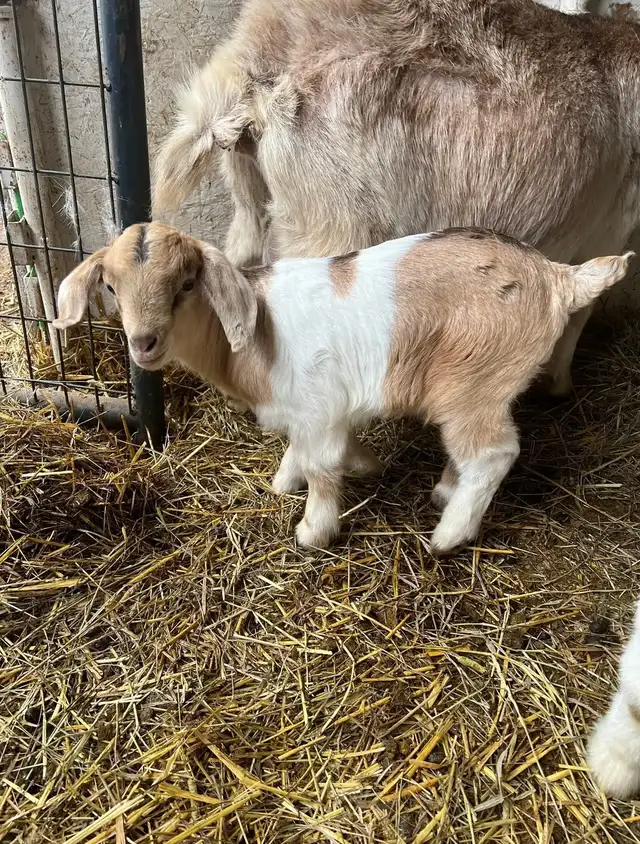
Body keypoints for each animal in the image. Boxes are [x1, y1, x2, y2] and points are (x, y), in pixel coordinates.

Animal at [52, 223, 631, 552]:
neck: (251, 333)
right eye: (110, 286)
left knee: (494, 452)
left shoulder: (318, 407)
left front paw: (314, 529)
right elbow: (303, 451)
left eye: (187, 284)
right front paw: (293, 480)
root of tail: (558, 279)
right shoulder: (309, 411)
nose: (144, 343)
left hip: (474, 381)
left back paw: (447, 535)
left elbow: (322, 466)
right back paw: (446, 491)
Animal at [153, 0, 640, 399]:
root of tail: (260, 50)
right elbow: (580, 307)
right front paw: (558, 384)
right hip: (328, 225)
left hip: (250, 199)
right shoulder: (608, 230)